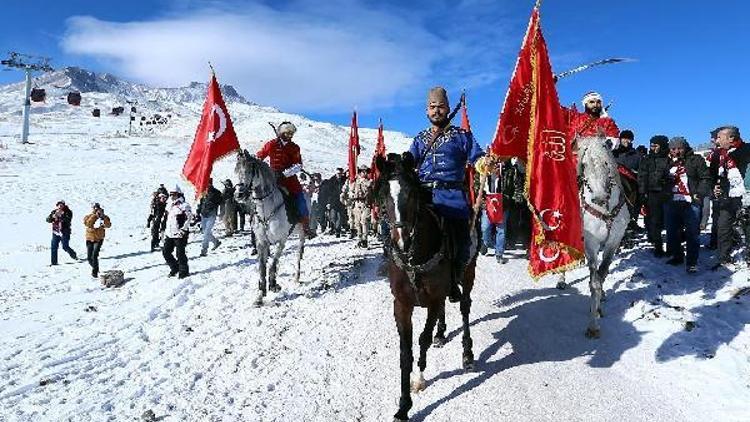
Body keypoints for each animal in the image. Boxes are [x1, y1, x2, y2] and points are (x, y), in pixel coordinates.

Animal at [374, 152, 476, 422]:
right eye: (383, 194)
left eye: (411, 193)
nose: (402, 240)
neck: (415, 257)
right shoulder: (402, 304)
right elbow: (405, 353)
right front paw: (403, 406)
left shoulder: (433, 300)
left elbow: (422, 339)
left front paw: (420, 379)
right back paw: (442, 334)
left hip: (468, 273)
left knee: (464, 307)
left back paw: (468, 354)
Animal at [580, 136, 632, 340]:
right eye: (584, 164)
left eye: (606, 163)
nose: (599, 198)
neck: (605, 210)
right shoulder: (591, 244)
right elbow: (594, 282)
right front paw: (593, 326)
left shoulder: (613, 242)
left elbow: (602, 275)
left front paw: (599, 308)